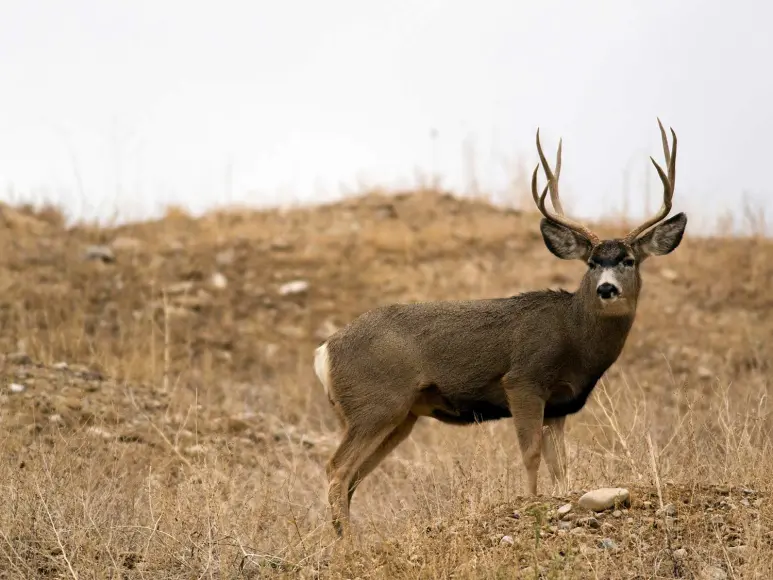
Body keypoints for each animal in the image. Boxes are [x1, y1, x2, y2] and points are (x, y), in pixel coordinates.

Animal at [314, 119, 688, 540]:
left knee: (352, 477)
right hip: (375, 403)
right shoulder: (523, 380)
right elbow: (531, 455)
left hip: (396, 415)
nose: (607, 289)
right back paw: (347, 543)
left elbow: (561, 466)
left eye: (628, 260)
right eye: (592, 262)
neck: (573, 336)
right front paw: (531, 505)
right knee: (337, 469)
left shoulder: (560, 404)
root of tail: (324, 351)